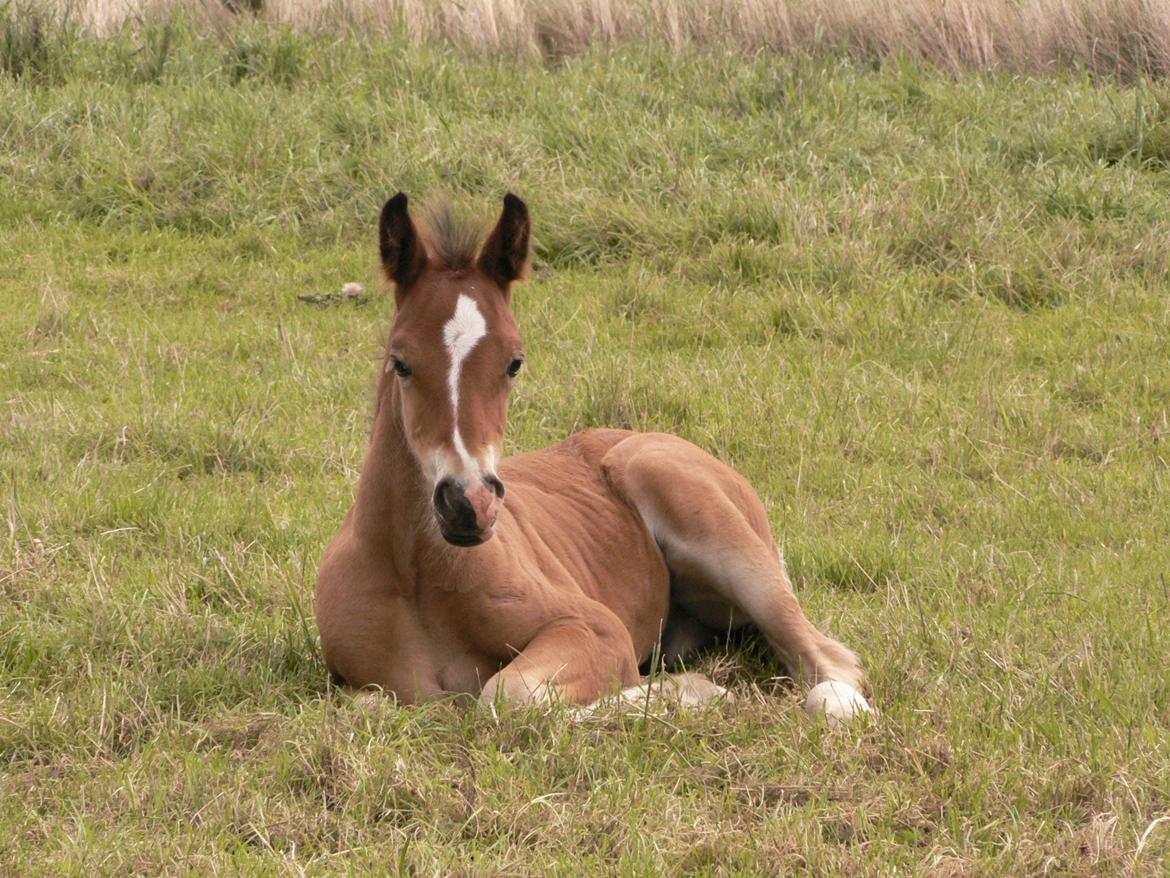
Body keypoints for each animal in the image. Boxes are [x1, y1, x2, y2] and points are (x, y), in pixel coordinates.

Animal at [315, 191, 875, 721]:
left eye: (514, 363)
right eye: (400, 362)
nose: (469, 504)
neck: (417, 577)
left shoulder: (593, 627)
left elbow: (506, 695)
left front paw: (691, 693)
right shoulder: (362, 683)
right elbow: (369, 704)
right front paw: (690, 690)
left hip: (703, 518)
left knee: (830, 666)